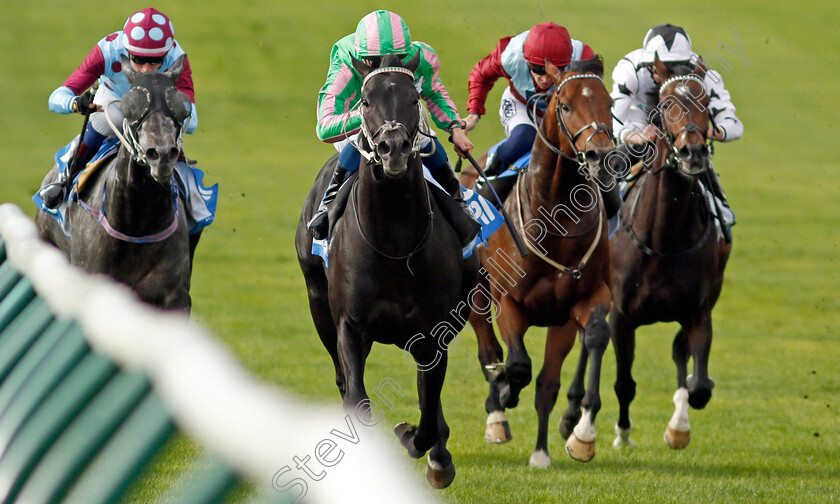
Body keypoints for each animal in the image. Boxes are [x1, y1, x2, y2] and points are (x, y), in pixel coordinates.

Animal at [36, 55, 199, 312]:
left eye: (181, 108)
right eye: (131, 107)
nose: (161, 154)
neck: (136, 224)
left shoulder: (175, 298)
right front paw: (82, 101)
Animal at [296, 54, 480, 488]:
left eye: (414, 99)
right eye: (365, 100)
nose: (392, 148)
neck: (395, 244)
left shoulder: (433, 331)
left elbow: (428, 408)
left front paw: (427, 450)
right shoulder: (350, 326)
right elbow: (356, 400)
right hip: (318, 306)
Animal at [466, 57, 616, 466]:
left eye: (610, 103)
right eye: (565, 106)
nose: (601, 155)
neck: (556, 218)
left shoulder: (576, 304)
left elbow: (560, 370)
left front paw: (566, 442)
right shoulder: (508, 302)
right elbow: (517, 366)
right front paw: (504, 394)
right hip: (476, 294)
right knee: (488, 350)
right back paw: (497, 414)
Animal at [608, 57, 732, 450]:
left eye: (706, 102)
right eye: (665, 106)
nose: (693, 152)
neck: (665, 238)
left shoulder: (698, 311)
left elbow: (700, 386)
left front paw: (678, 427)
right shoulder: (621, 315)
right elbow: (624, 382)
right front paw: (619, 435)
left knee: (681, 355)